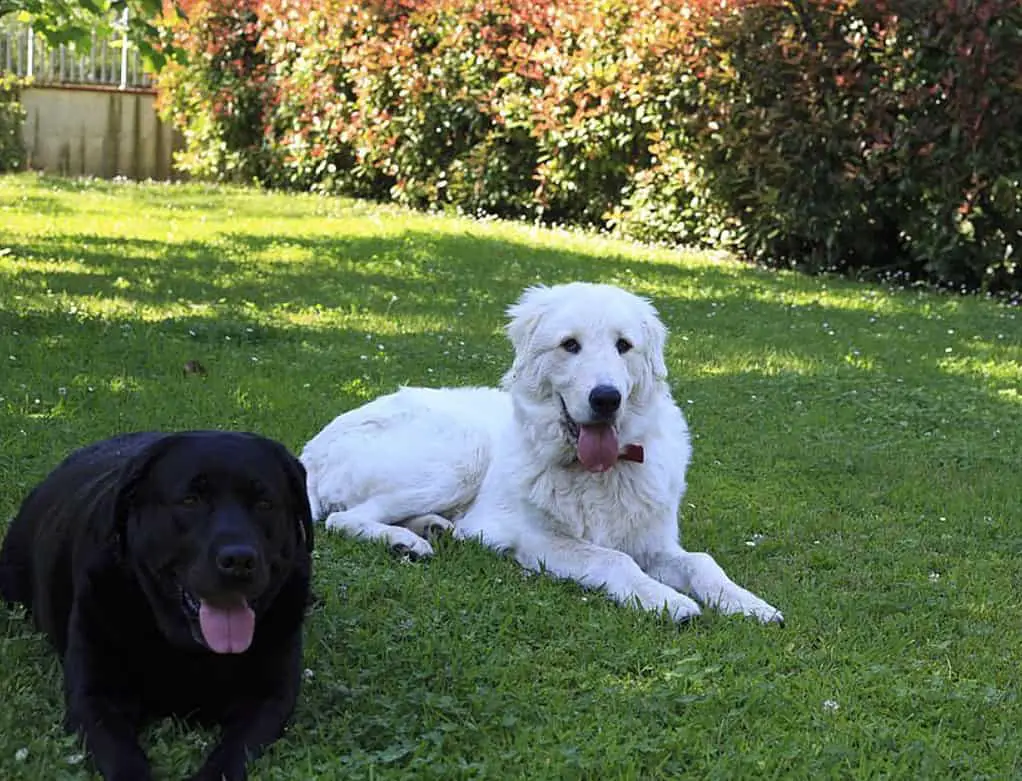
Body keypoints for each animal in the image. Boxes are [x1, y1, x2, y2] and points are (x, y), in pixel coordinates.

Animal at [0, 429, 312, 781]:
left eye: (264, 503)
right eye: (190, 501)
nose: (239, 561)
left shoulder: (268, 698)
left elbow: (232, 754)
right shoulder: (96, 696)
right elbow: (122, 756)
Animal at [300, 280, 780, 621]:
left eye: (624, 346)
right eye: (570, 345)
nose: (606, 398)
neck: (598, 471)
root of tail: (312, 449)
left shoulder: (656, 542)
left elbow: (702, 562)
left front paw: (748, 603)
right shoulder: (533, 537)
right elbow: (613, 558)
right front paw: (666, 600)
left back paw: (434, 529)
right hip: (461, 453)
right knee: (347, 518)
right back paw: (407, 542)